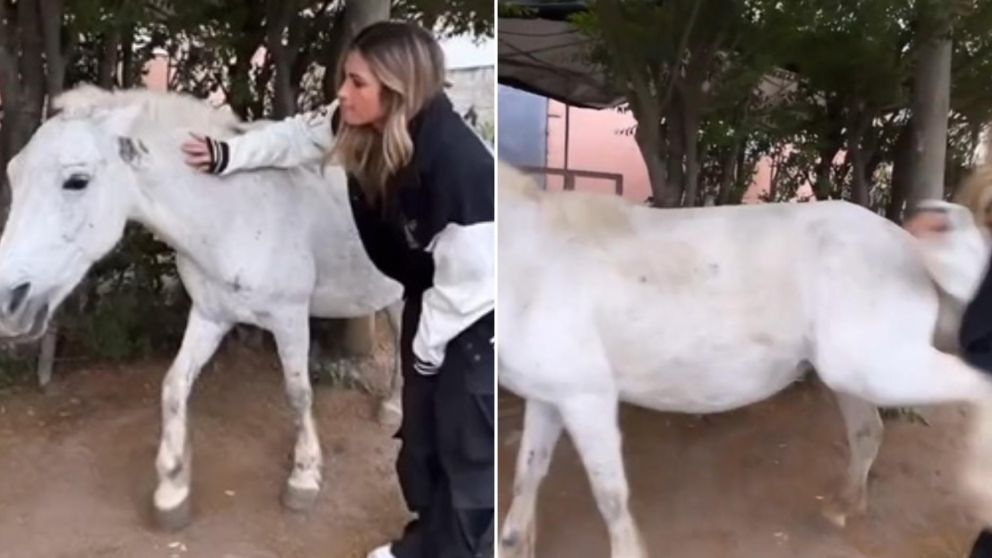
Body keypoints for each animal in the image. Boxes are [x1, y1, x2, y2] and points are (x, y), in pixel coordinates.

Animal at [0, 84, 407, 529]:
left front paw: (303, 476)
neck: (237, 214)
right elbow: (174, 386)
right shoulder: (211, 315)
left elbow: (299, 394)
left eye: (76, 181)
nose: (9, 301)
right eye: (13, 175)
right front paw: (172, 486)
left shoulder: (290, 318)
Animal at [496, 159, 992, 558]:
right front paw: (515, 543)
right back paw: (842, 507)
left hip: (879, 367)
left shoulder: (588, 395)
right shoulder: (550, 396)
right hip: (852, 373)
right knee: (868, 432)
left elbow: (610, 495)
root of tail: (904, 243)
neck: (528, 264)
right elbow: (527, 475)